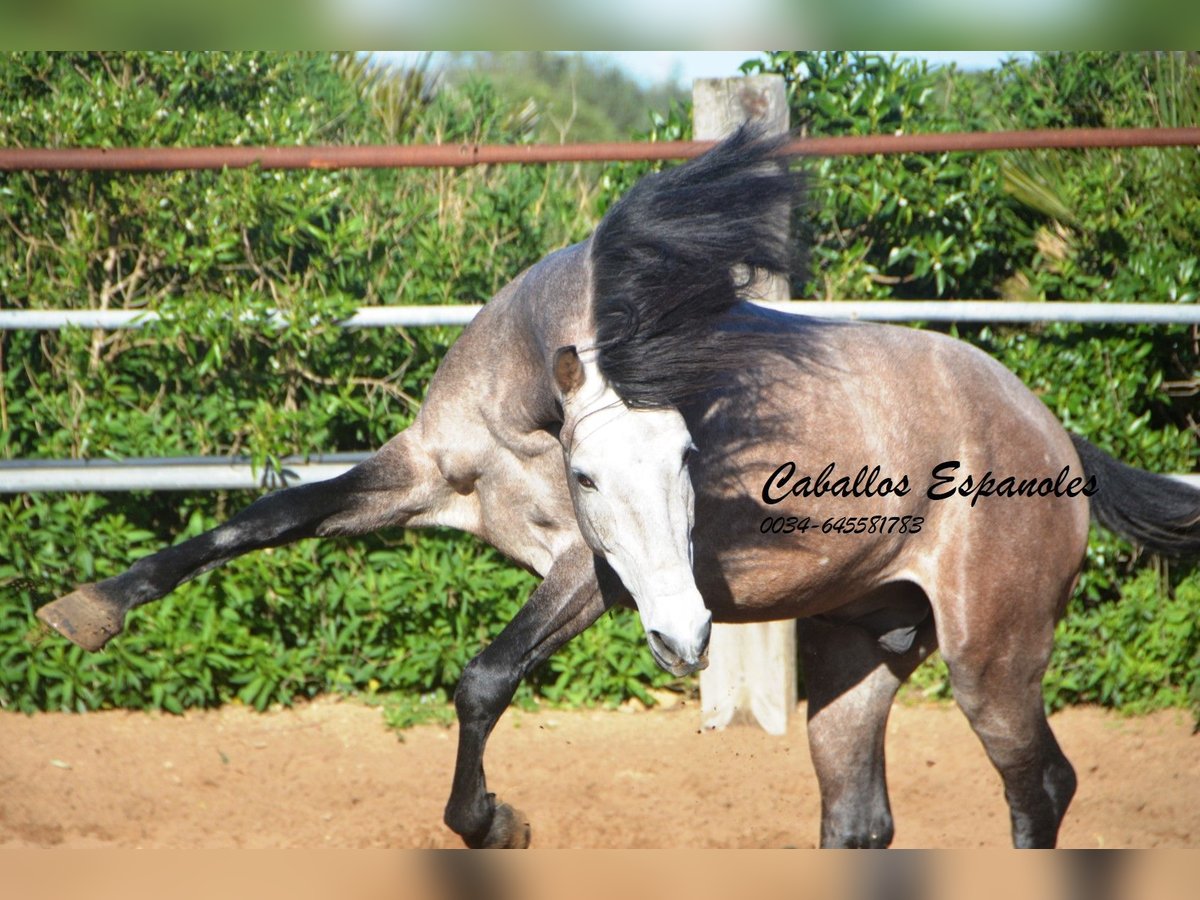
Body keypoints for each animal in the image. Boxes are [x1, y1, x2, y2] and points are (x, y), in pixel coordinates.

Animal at [37, 128, 1200, 854]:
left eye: (690, 463)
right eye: (592, 470)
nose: (686, 641)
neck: (527, 415)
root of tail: (1052, 433)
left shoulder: (585, 572)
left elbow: (483, 680)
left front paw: (497, 822)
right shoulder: (421, 474)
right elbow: (257, 520)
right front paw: (89, 610)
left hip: (992, 659)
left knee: (1039, 789)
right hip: (860, 652)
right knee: (859, 819)